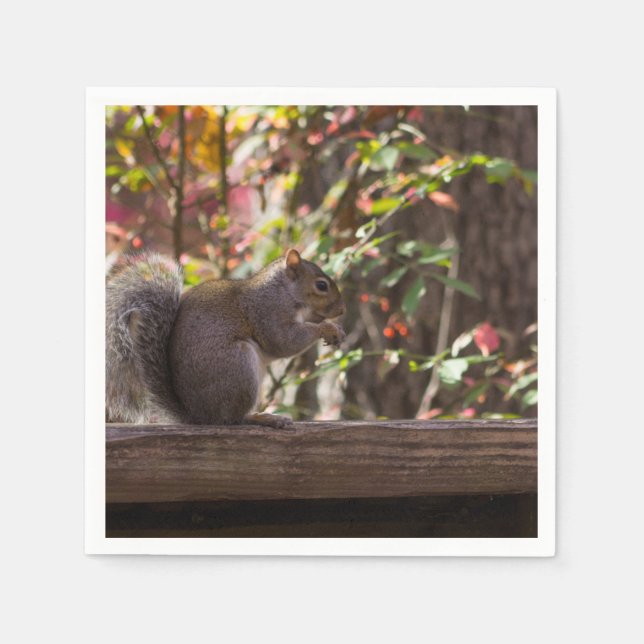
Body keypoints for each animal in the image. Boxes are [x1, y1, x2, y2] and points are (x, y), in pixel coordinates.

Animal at [106, 249, 346, 428]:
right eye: (321, 285)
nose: (341, 310)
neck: (283, 290)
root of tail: (199, 416)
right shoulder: (268, 312)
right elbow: (284, 342)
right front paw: (327, 328)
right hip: (239, 367)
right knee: (233, 418)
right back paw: (261, 417)